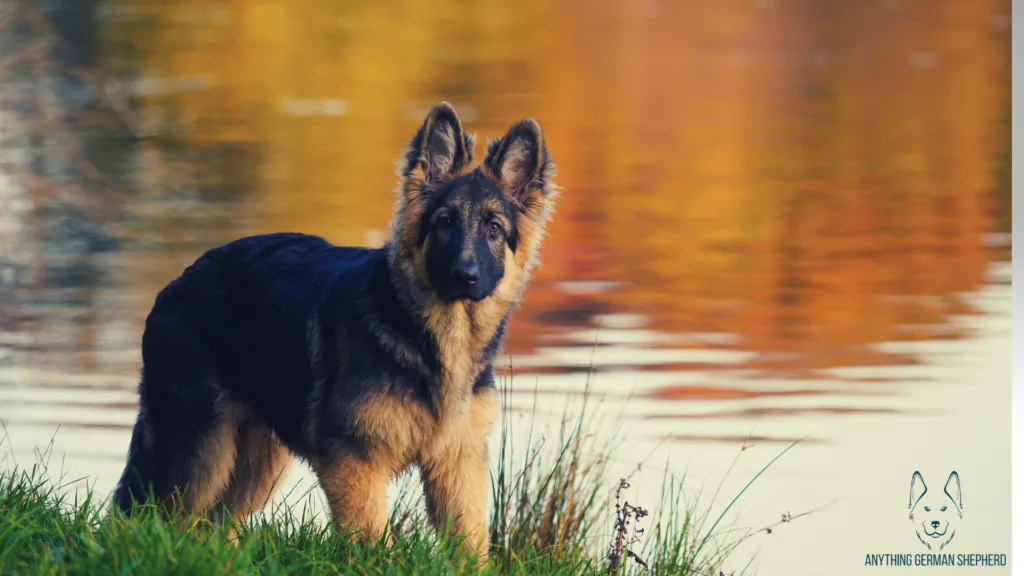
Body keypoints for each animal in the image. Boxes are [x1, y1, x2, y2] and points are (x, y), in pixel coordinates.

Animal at [113, 100, 561, 553]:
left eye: (494, 228)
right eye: (444, 222)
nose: (464, 275)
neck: (427, 337)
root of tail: (177, 283)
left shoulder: (458, 463)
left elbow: (469, 546)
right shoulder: (355, 460)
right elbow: (372, 540)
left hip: (256, 463)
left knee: (212, 526)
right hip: (201, 453)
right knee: (162, 518)